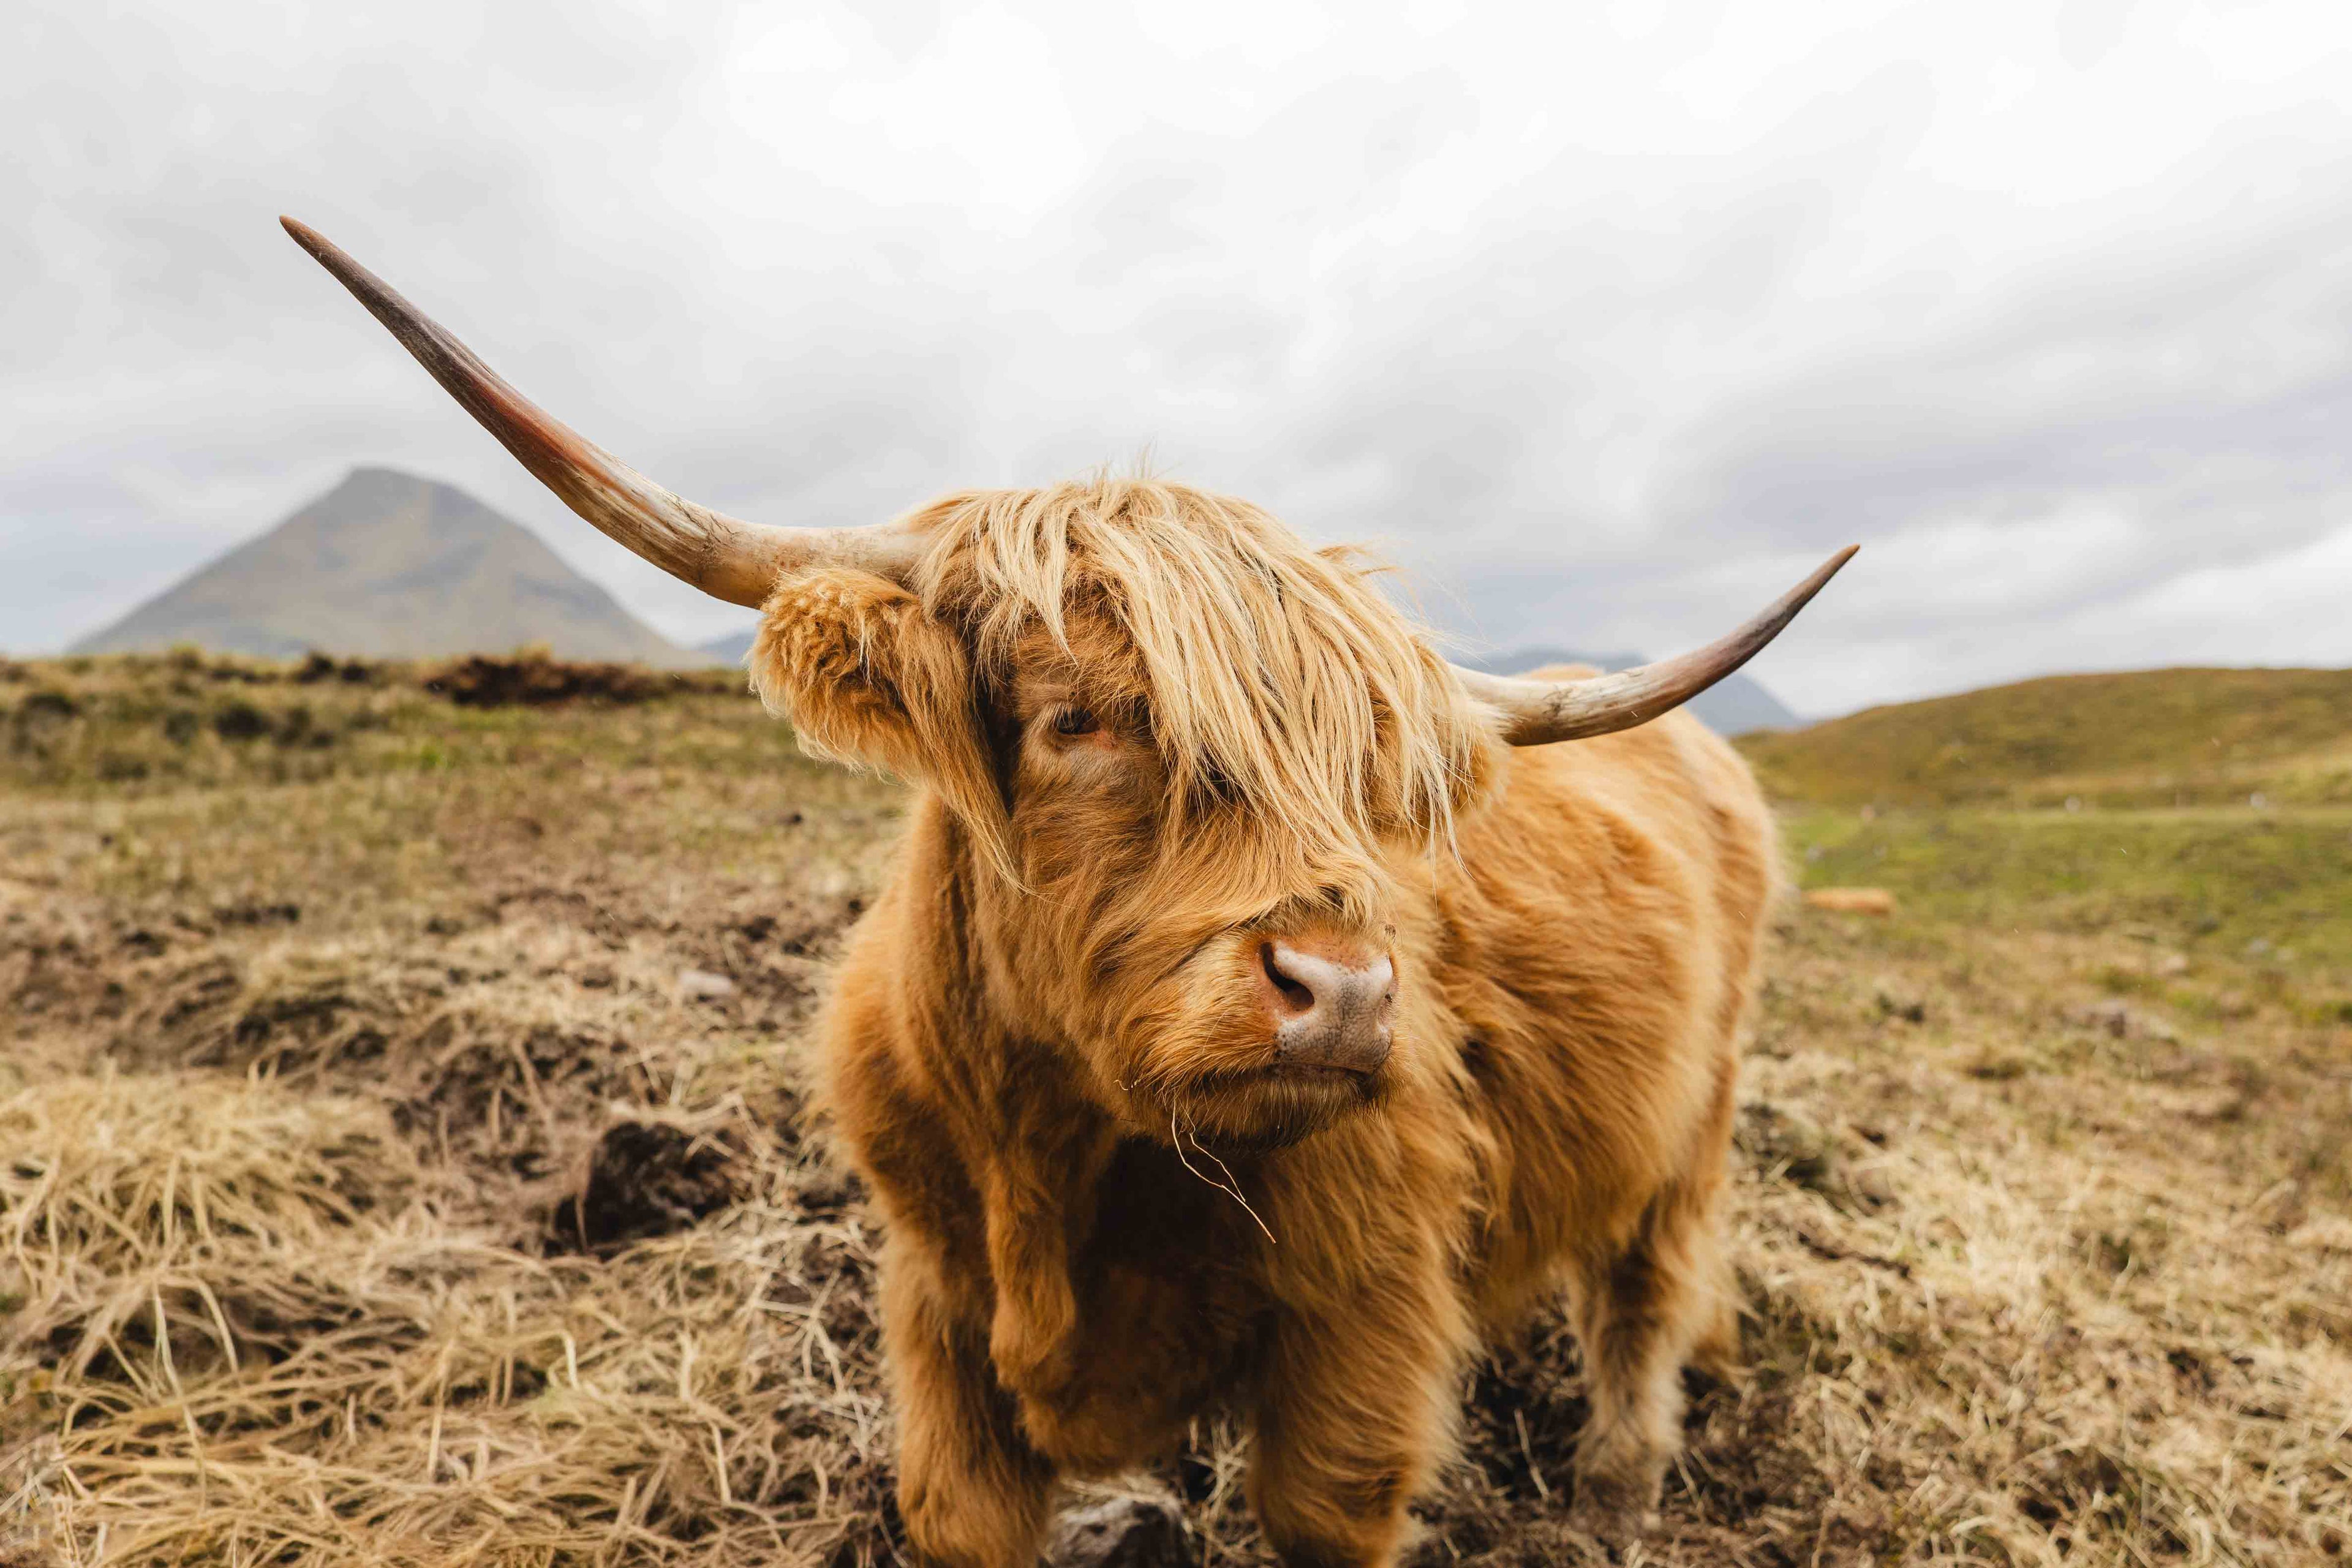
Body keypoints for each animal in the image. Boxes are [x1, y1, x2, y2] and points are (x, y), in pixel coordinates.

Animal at [284, 217, 1851, 1567]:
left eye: (1363, 772)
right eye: (1073, 717)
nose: (1342, 994)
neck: (1056, 1141)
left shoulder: (1364, 1321)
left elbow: (1323, 1505)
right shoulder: (935, 1306)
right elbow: (959, 1510)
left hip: (1697, 1110)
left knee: (1643, 1289)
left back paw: (1616, 1494)